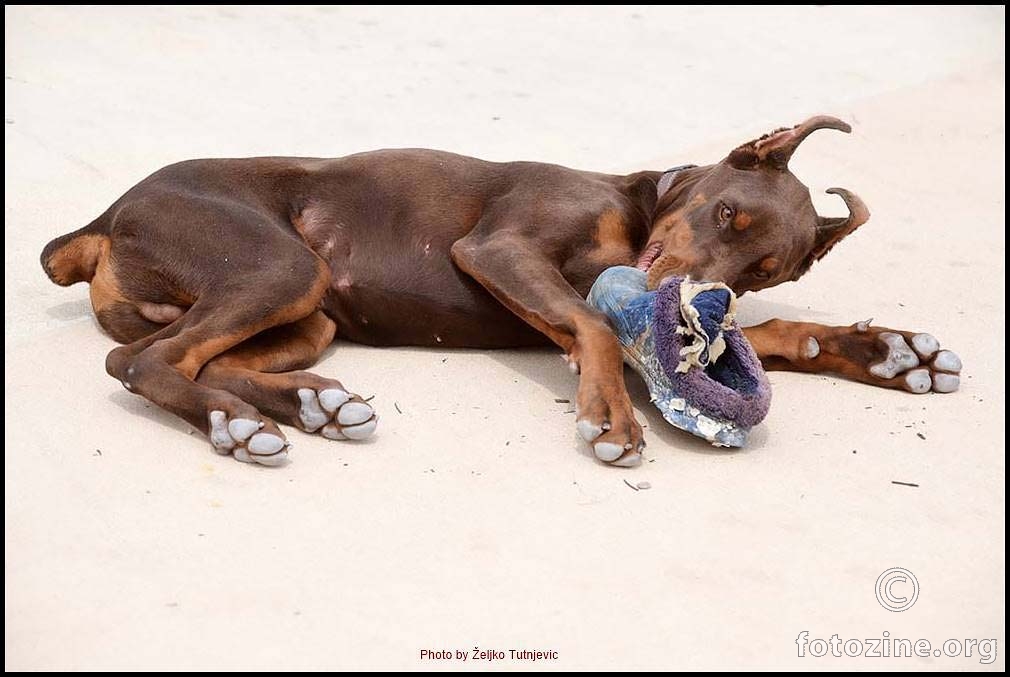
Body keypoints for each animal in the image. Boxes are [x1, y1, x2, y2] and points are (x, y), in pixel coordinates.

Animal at [41, 115, 961, 466]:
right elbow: (598, 324)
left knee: (190, 357)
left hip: (311, 313)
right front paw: (611, 415)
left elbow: (769, 335)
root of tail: (108, 213)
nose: (694, 303)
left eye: (770, 268)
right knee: (141, 362)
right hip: (280, 266)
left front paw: (891, 352)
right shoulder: (500, 246)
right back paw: (235, 426)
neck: (640, 203)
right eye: (727, 210)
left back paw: (309, 405)